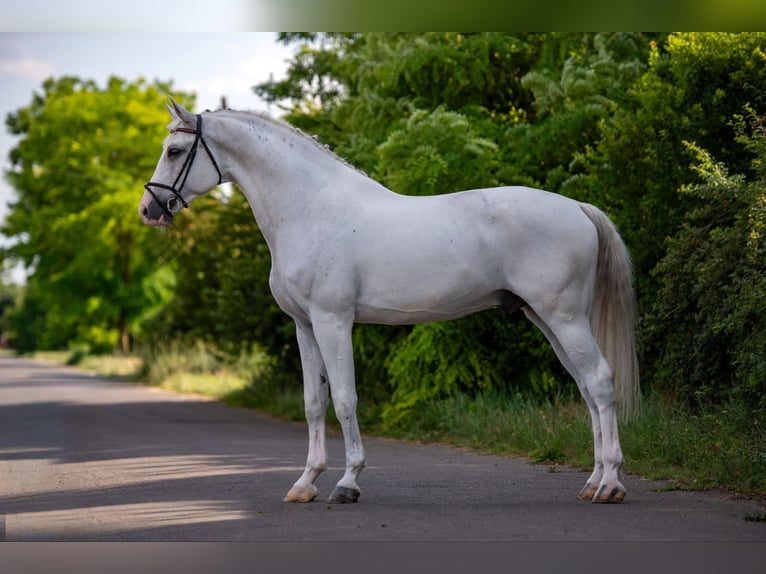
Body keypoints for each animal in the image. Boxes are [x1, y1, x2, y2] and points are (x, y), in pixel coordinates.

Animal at [140, 98, 639, 505]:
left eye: (175, 151)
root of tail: (577, 208)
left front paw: (347, 483)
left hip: (565, 317)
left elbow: (344, 399)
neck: (309, 209)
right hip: (547, 319)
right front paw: (305, 483)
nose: (150, 210)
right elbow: (313, 402)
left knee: (599, 381)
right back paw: (593, 481)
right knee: (586, 388)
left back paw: (611, 484)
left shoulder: (333, 321)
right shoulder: (305, 326)